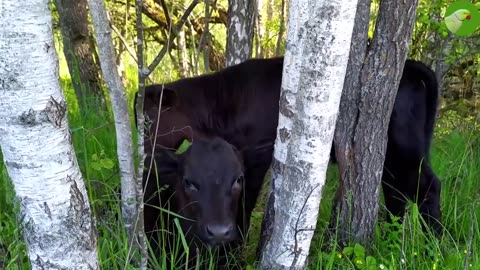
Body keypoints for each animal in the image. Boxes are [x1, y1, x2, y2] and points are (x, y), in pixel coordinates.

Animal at [136, 57, 442, 266]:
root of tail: (413, 66)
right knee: (396, 192)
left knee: (427, 187)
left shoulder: (254, 158)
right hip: (393, 156)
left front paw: (233, 254)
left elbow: (244, 205)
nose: (143, 155)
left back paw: (433, 247)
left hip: (405, 148)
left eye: (149, 120)